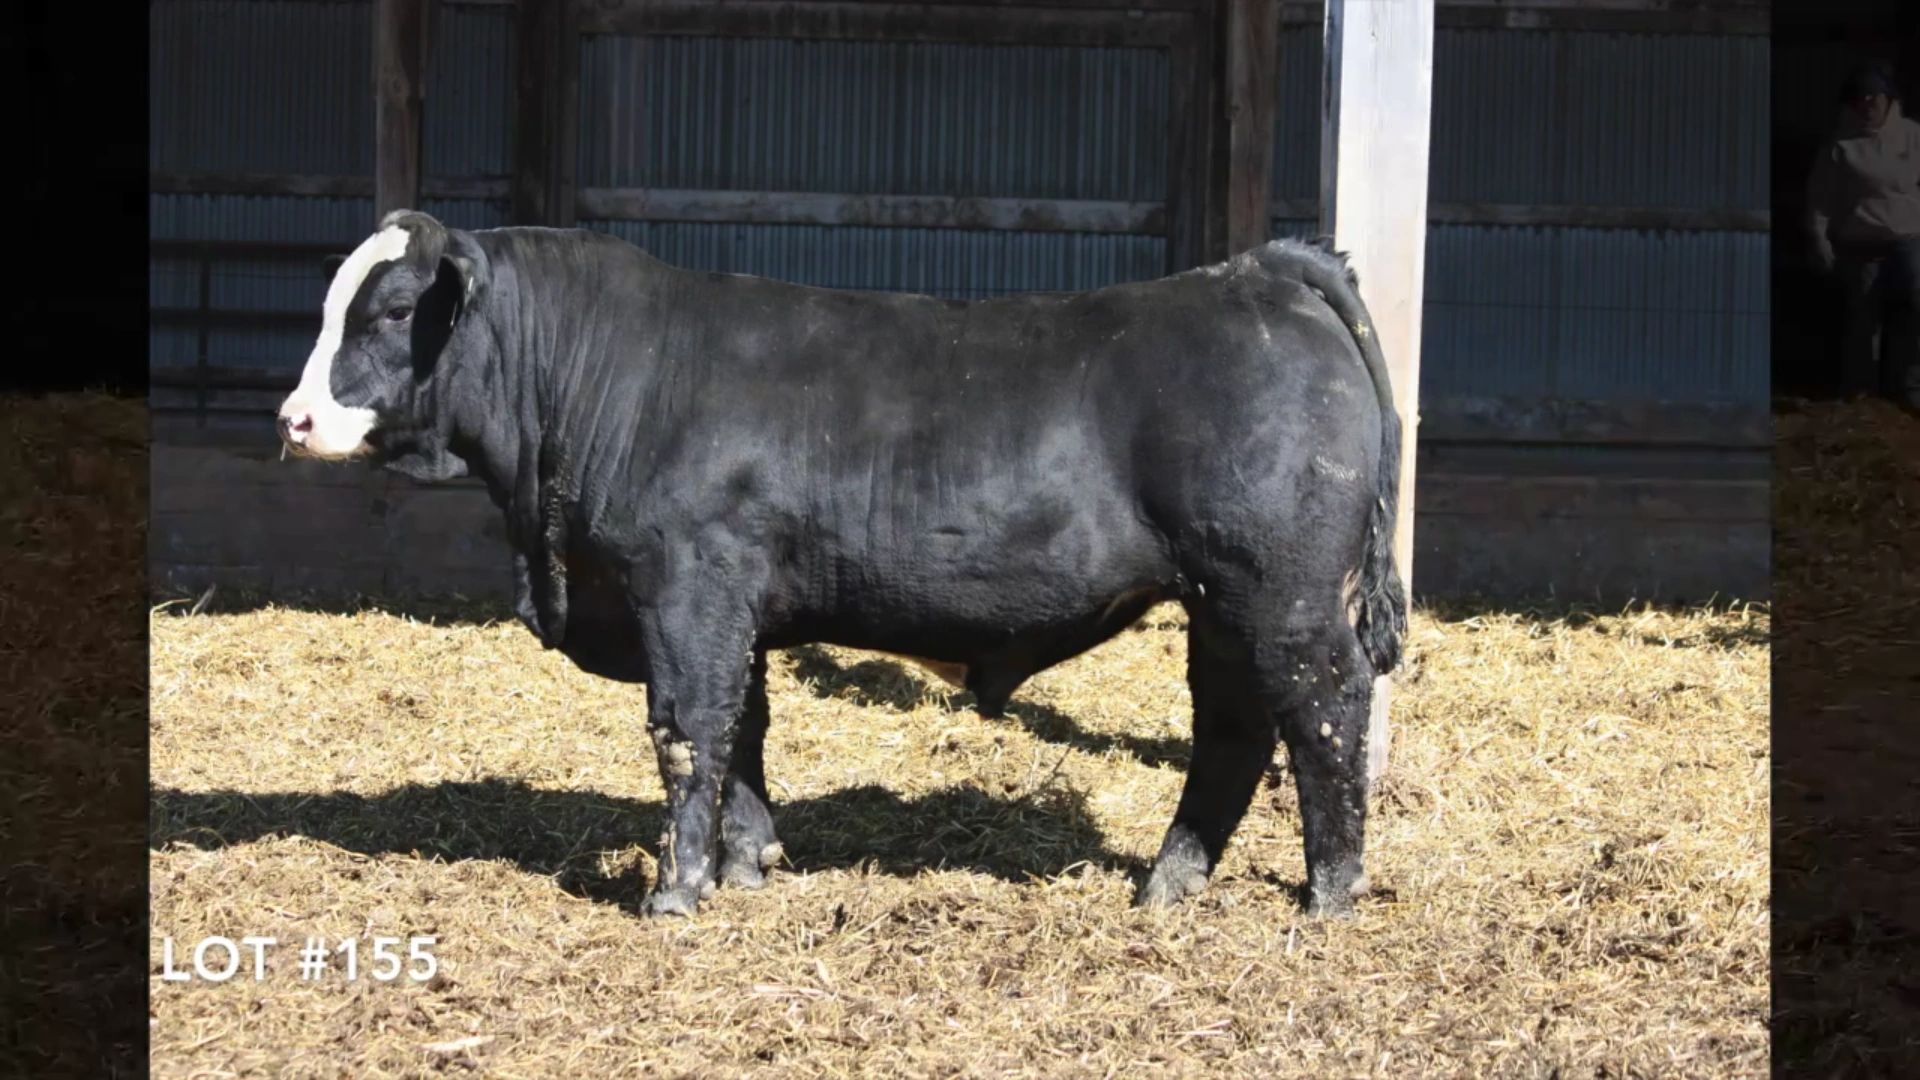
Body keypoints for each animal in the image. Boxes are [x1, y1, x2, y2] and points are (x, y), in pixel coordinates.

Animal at [276, 209, 1408, 919]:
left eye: (391, 311)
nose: (292, 419)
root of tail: (1257, 272)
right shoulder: (735, 607)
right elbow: (743, 732)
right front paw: (748, 868)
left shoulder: (686, 589)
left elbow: (687, 730)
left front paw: (675, 891)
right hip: (1222, 603)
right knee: (1233, 729)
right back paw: (1169, 884)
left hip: (1283, 593)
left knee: (1326, 714)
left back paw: (1330, 894)